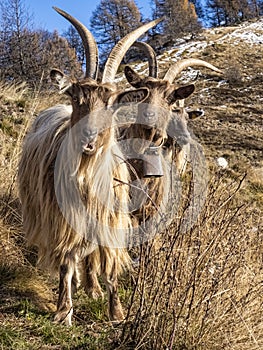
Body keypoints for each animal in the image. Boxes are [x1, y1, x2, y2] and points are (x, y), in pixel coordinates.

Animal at [18, 7, 161, 326]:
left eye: (111, 103)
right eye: (76, 97)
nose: (89, 140)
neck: (85, 176)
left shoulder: (111, 219)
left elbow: (108, 265)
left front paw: (116, 312)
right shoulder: (61, 219)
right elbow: (66, 261)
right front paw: (63, 311)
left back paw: (92, 288)